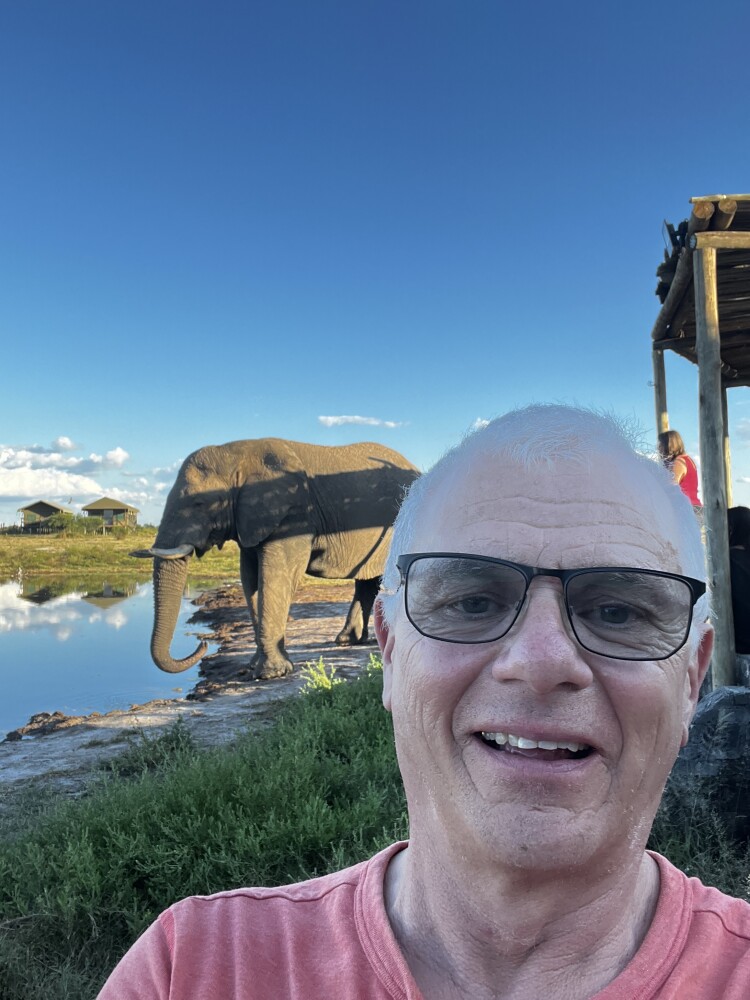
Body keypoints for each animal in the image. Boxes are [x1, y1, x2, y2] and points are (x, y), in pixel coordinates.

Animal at [132, 438, 419, 680]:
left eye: (199, 503)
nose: (202, 644)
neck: (237, 455)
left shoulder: (293, 516)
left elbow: (274, 577)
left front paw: (270, 674)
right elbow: (250, 578)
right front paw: (254, 667)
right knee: (367, 583)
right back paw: (346, 640)